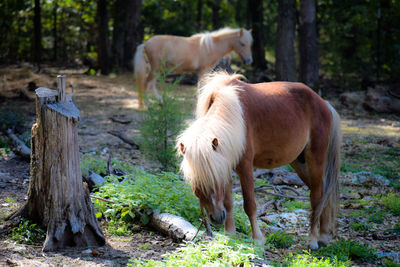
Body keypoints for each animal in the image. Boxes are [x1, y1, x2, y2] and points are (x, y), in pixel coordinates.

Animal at [177, 72, 342, 250]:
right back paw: (323, 236)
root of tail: (324, 103)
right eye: (196, 184)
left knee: (316, 197)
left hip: (315, 160)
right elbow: (228, 202)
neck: (232, 116)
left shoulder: (245, 168)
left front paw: (257, 238)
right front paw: (230, 233)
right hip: (300, 163)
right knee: (324, 193)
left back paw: (312, 240)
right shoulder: (225, 165)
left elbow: (250, 204)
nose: (216, 218)